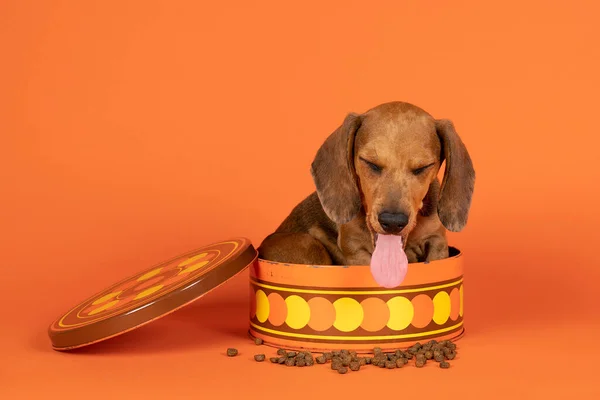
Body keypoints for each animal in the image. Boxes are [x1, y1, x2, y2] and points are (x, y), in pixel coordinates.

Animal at [258, 101, 474, 268]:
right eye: (370, 163)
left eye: (422, 167)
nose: (392, 222)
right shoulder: (355, 249)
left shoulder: (438, 243)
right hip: (307, 244)